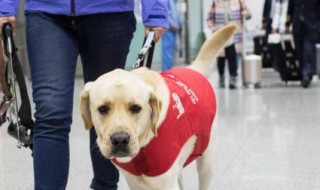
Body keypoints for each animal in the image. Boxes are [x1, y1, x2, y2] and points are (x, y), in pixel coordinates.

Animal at [80, 24, 238, 190]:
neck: (143, 147)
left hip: (206, 161)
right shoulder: (134, 181)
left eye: (136, 108)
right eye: (103, 109)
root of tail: (193, 68)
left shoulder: (166, 182)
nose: (120, 139)